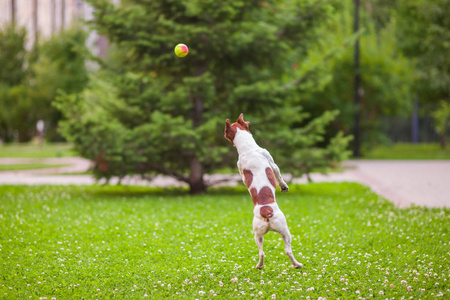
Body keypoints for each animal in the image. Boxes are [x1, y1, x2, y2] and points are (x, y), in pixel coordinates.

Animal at [224, 113, 302, 270]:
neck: (248, 149)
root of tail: (266, 212)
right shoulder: (273, 163)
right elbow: (279, 176)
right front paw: (284, 186)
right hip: (285, 230)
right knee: (288, 250)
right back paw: (297, 264)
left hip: (258, 235)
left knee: (261, 253)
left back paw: (259, 266)